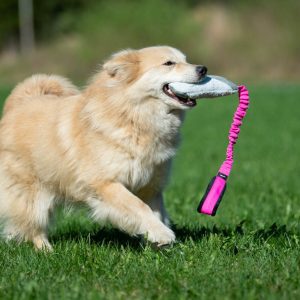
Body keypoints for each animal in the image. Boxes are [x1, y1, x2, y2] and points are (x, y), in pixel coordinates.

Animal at [0, 45, 207, 250]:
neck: (133, 116)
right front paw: (163, 234)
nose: (203, 69)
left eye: (186, 60)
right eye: (169, 63)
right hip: (33, 193)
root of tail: (18, 106)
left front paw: (155, 242)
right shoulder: (106, 184)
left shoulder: (150, 186)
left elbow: (154, 211)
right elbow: (138, 207)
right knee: (33, 226)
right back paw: (46, 251)